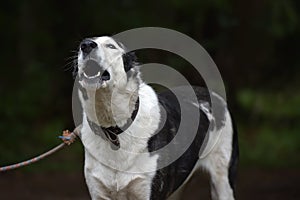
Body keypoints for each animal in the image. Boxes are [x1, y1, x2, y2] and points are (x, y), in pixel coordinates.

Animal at [71, 36, 238, 200]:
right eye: (82, 44)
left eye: (111, 46)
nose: (86, 45)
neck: (114, 130)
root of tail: (212, 94)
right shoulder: (98, 191)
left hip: (223, 178)